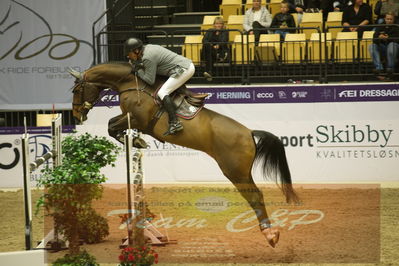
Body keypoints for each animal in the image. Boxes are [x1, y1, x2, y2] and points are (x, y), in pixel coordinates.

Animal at [69, 61, 300, 247]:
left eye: (77, 89)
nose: (76, 114)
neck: (131, 83)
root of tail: (249, 133)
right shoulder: (130, 119)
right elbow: (111, 124)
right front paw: (136, 141)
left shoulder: (138, 119)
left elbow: (111, 126)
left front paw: (136, 140)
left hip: (235, 172)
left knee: (255, 196)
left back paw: (270, 234)